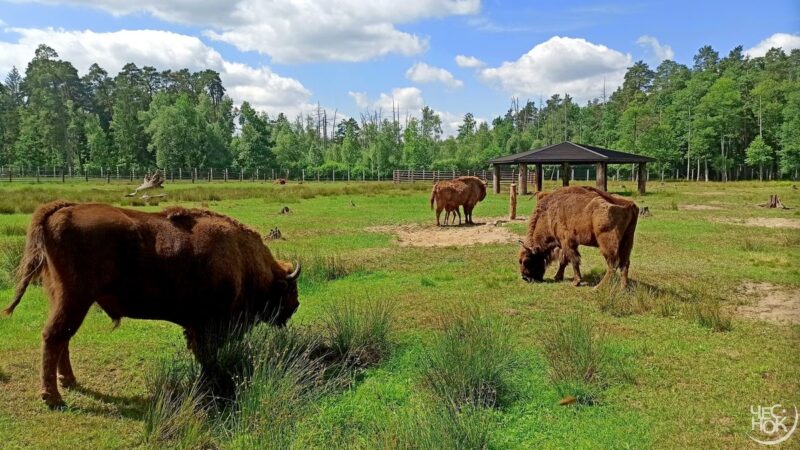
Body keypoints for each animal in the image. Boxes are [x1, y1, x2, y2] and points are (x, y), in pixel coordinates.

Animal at [1, 202, 302, 406]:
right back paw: (53, 398)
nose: (296, 305)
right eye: (290, 289)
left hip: (64, 299)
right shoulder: (207, 325)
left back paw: (69, 382)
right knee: (54, 337)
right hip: (74, 299)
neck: (243, 259)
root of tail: (61, 210)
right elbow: (207, 355)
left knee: (62, 338)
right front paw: (212, 381)